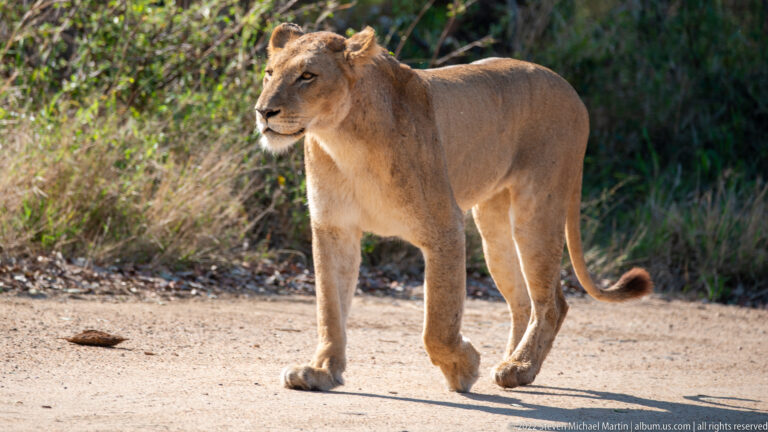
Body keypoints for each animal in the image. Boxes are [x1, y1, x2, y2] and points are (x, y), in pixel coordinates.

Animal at [255, 23, 653, 393]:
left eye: (308, 76)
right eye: (270, 72)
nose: (263, 111)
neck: (342, 138)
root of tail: (569, 89)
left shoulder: (444, 227)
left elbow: (438, 322)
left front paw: (463, 366)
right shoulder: (334, 228)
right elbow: (330, 307)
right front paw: (321, 371)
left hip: (537, 211)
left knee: (552, 302)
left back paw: (519, 368)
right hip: (493, 228)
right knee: (524, 301)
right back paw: (512, 360)